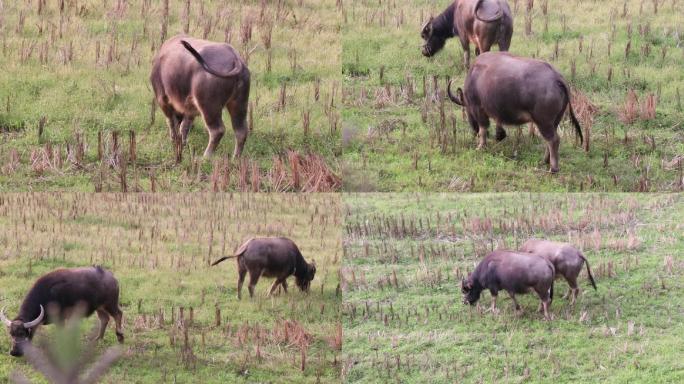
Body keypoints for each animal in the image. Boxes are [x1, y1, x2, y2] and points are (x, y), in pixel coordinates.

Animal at [446, 51, 584, 172]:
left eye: (467, 109)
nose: (473, 129)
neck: (474, 75)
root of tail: (557, 78)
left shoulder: (478, 108)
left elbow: (483, 129)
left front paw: (480, 147)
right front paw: (499, 135)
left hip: (543, 121)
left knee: (553, 140)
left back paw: (553, 168)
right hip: (555, 121)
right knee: (549, 140)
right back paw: (545, 160)